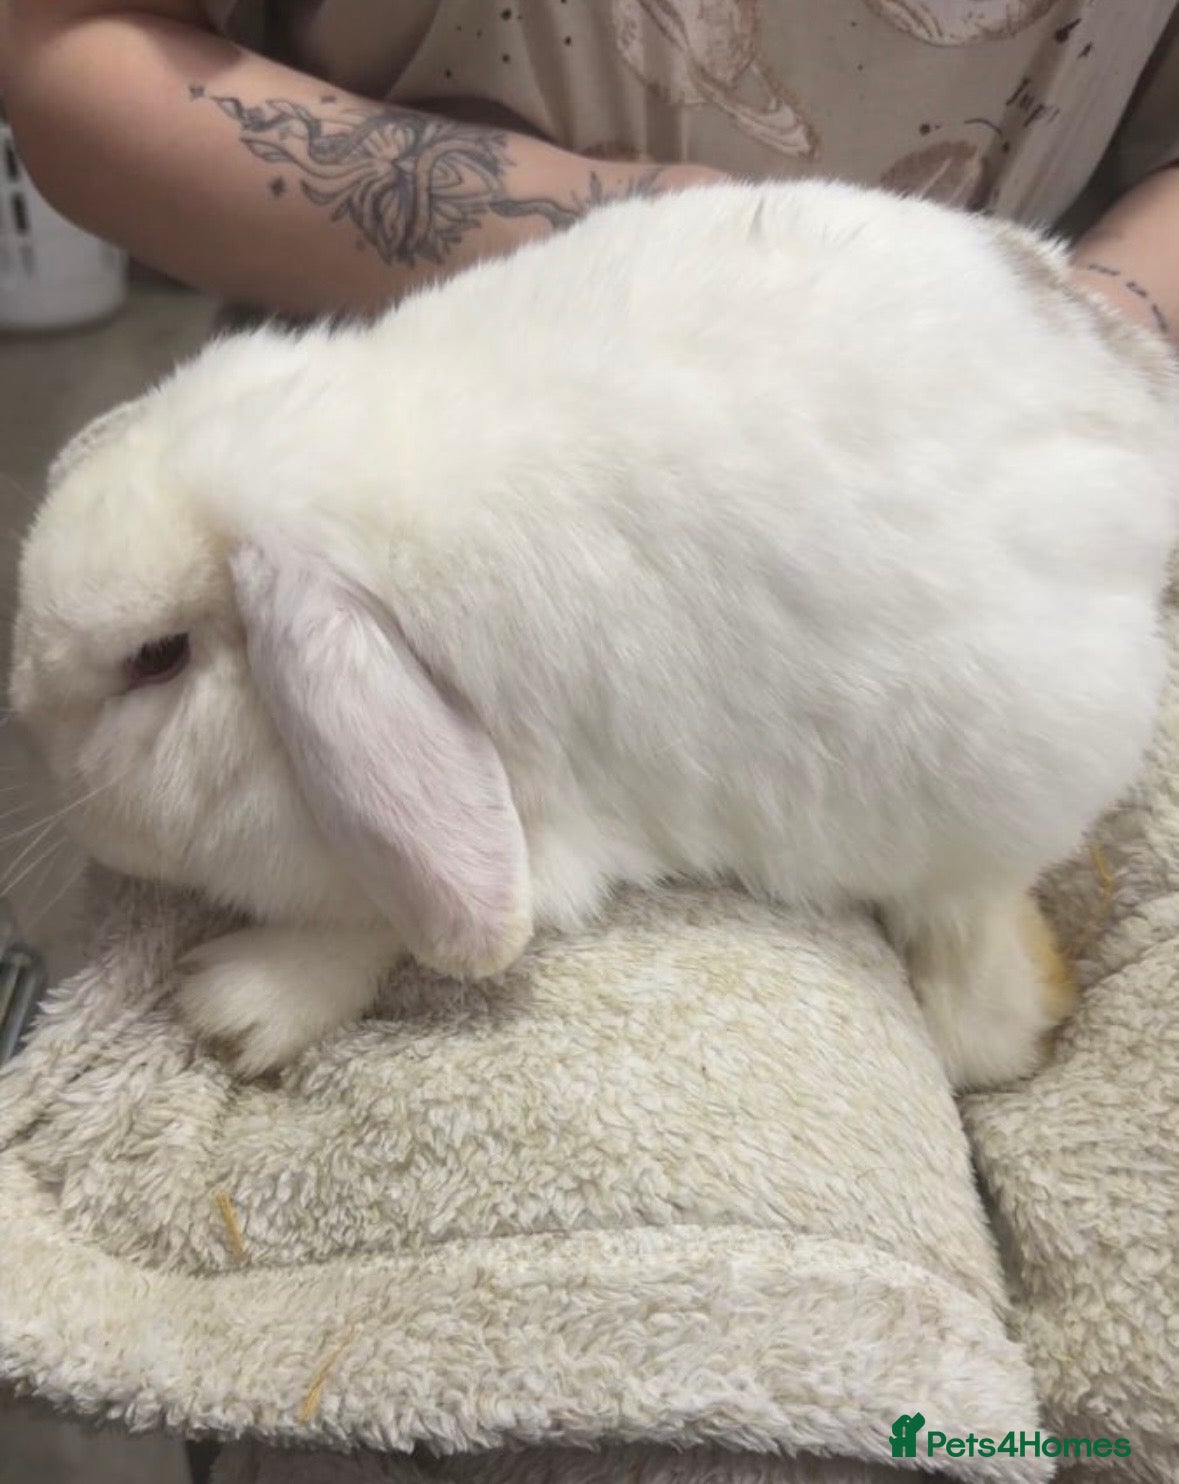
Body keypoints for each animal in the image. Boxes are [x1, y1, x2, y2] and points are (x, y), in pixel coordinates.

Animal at [9, 179, 1179, 1086]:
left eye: (155, 657)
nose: (25, 715)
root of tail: (1131, 415)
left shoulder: (518, 838)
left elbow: (400, 924)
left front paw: (238, 1007)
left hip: (987, 778)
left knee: (973, 918)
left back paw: (996, 1028)